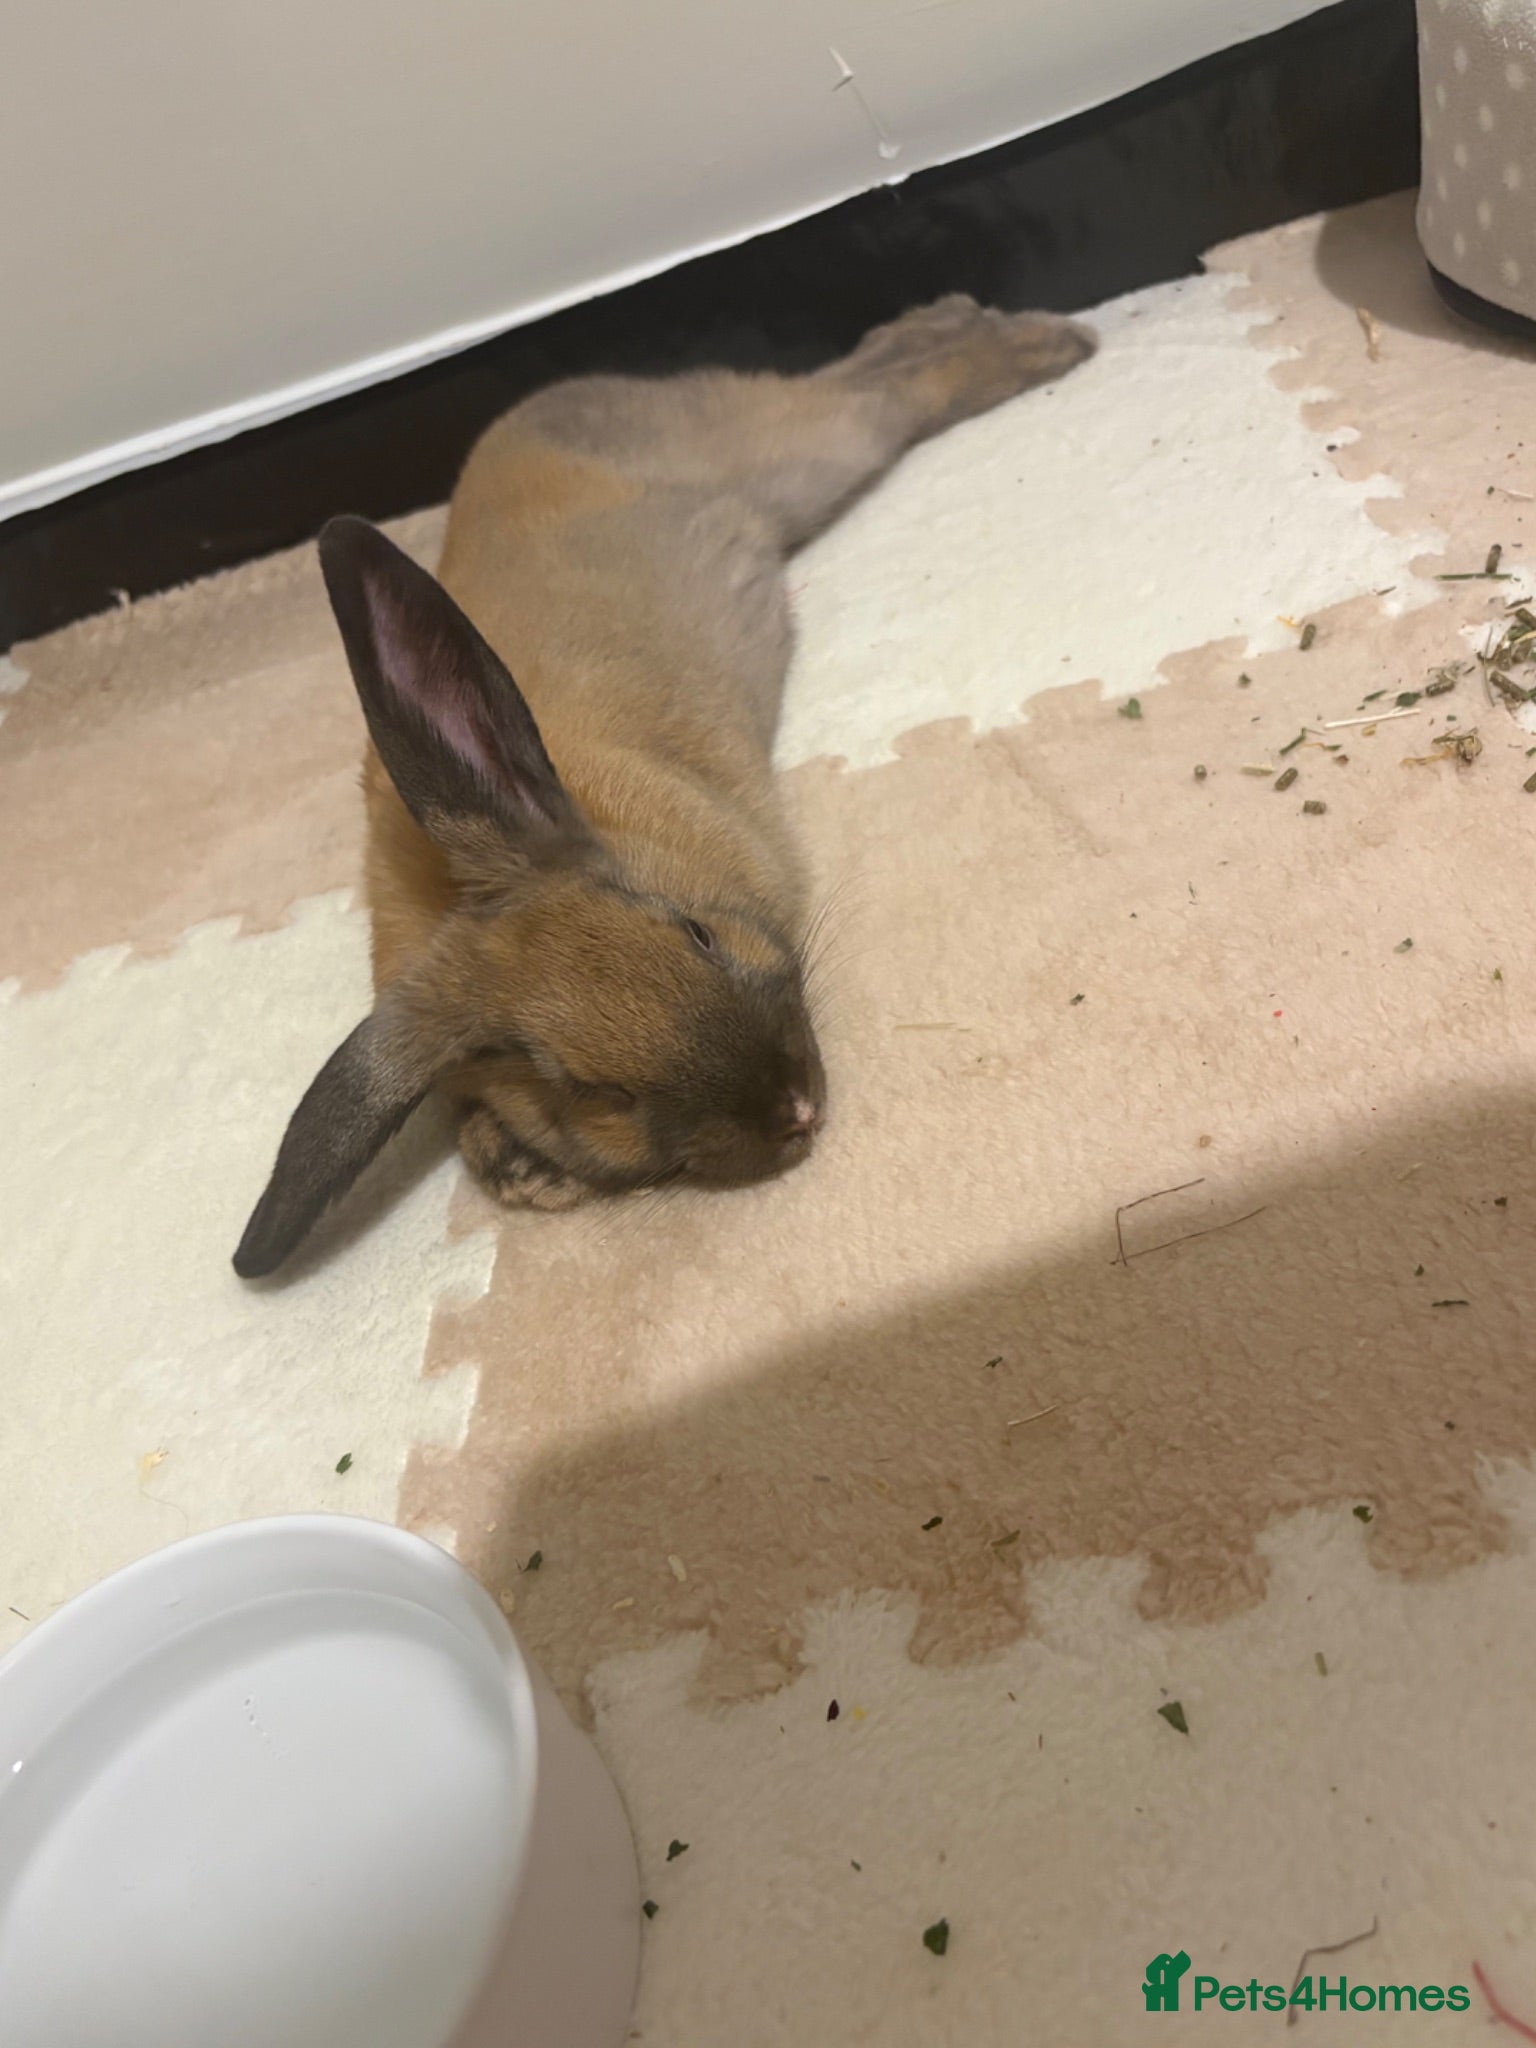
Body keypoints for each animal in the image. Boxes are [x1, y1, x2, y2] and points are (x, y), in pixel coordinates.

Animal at [233, 293, 1096, 1277]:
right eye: (594, 1090)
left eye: (696, 934)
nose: (796, 1111)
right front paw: (520, 1169)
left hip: (805, 453)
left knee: (894, 383)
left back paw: (1045, 341)